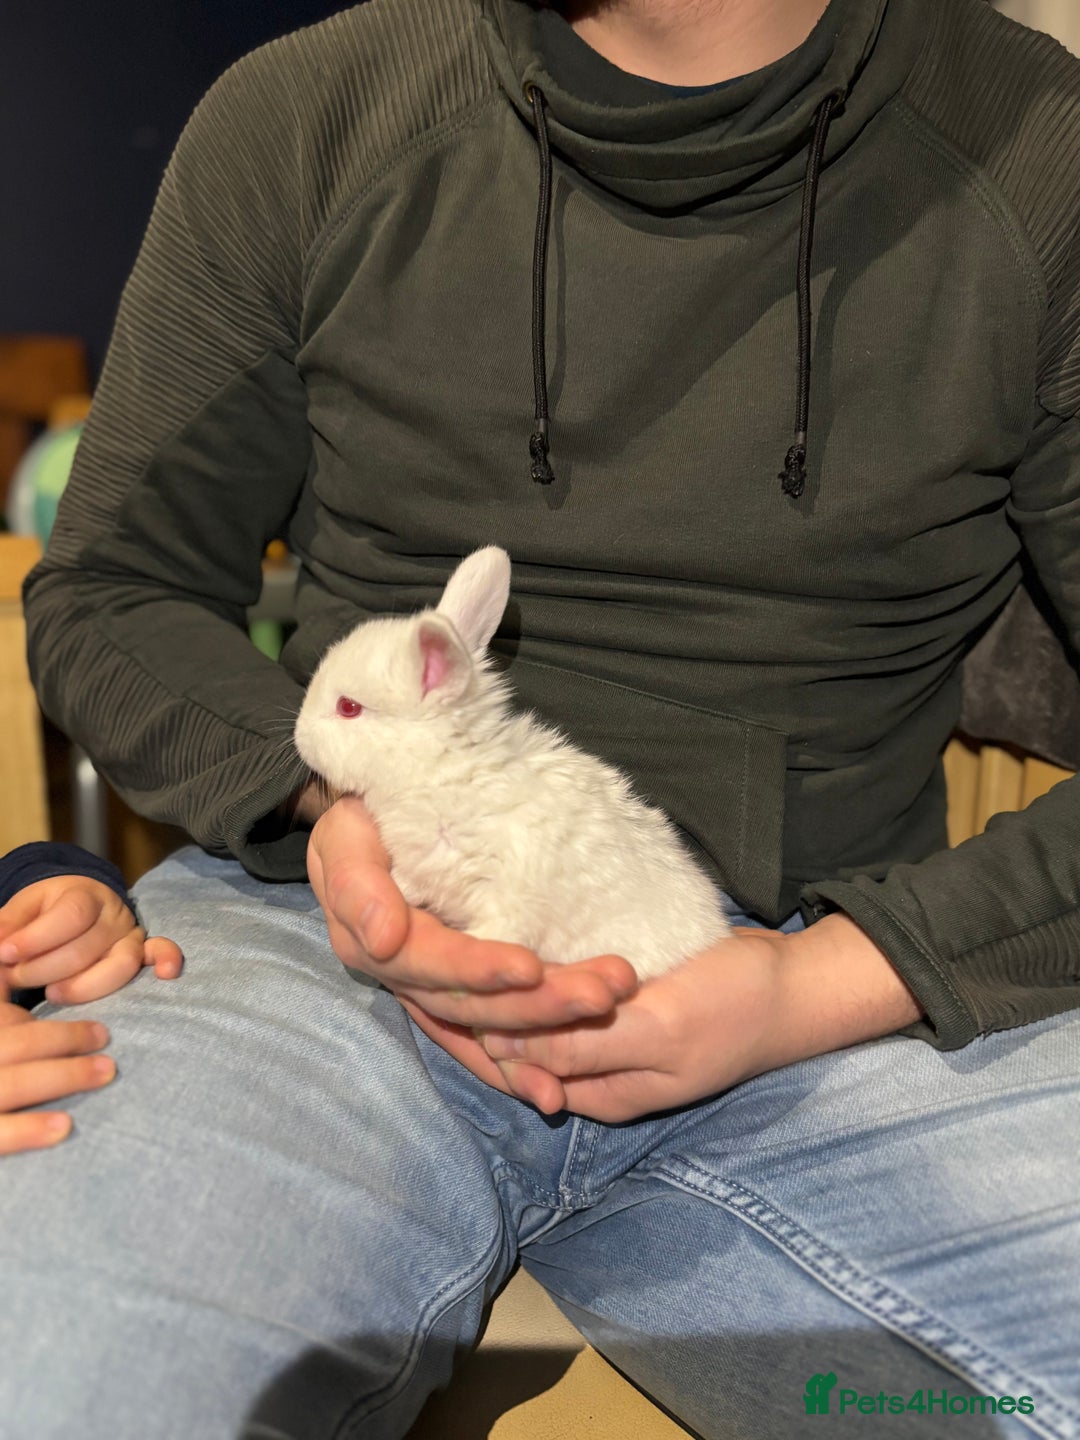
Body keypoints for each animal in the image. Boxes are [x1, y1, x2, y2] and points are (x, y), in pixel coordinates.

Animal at [293, 546, 731, 980]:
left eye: (348, 707)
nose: (299, 737)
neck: (443, 770)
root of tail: (712, 932)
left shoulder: (509, 890)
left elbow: (505, 925)